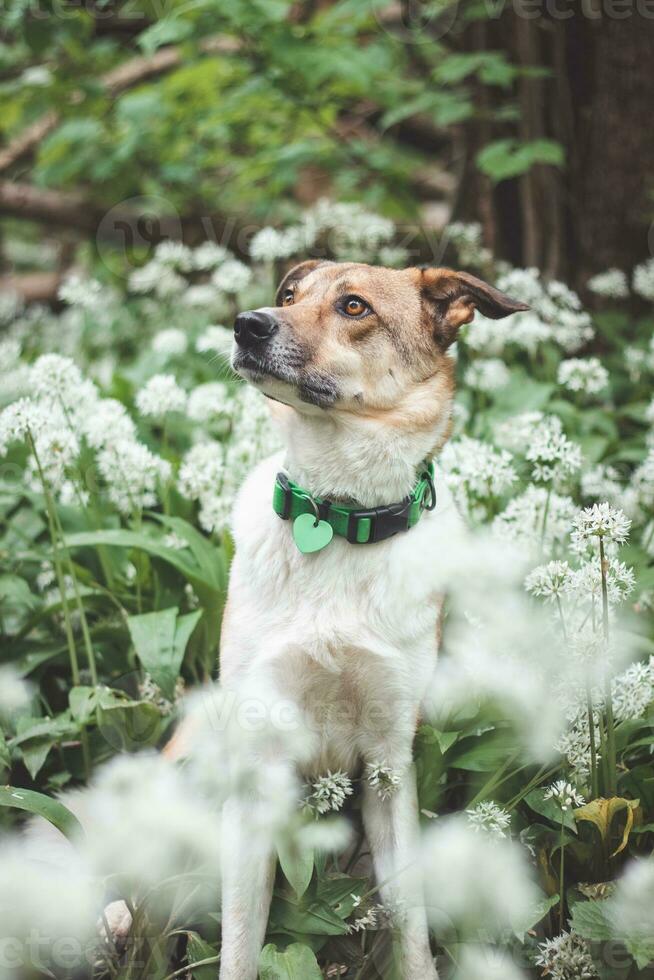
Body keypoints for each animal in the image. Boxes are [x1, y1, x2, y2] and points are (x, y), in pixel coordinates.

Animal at [163, 262, 528, 980]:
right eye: (288, 296)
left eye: (353, 306)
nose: (246, 325)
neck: (335, 516)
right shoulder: (259, 752)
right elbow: (241, 939)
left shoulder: (389, 759)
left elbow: (411, 922)